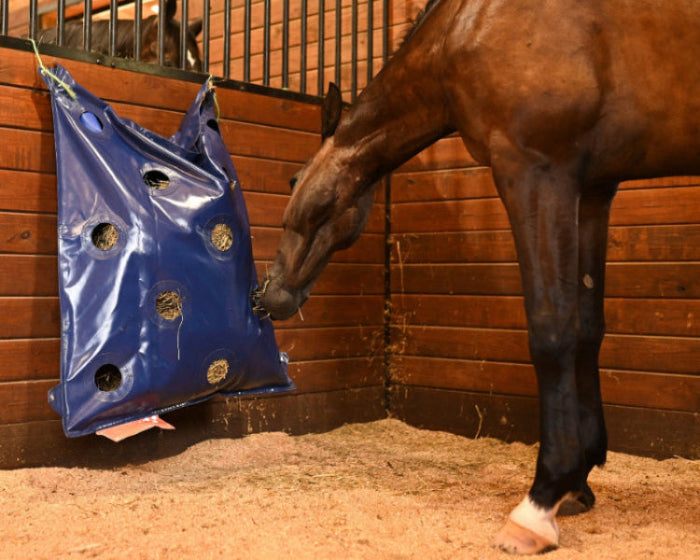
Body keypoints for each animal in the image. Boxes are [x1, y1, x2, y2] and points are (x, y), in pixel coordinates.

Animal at [253, 0, 700, 554]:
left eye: (294, 180)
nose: (270, 295)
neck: (465, 28)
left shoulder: (535, 170)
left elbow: (553, 331)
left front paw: (541, 501)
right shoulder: (596, 188)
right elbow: (588, 330)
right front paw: (578, 482)